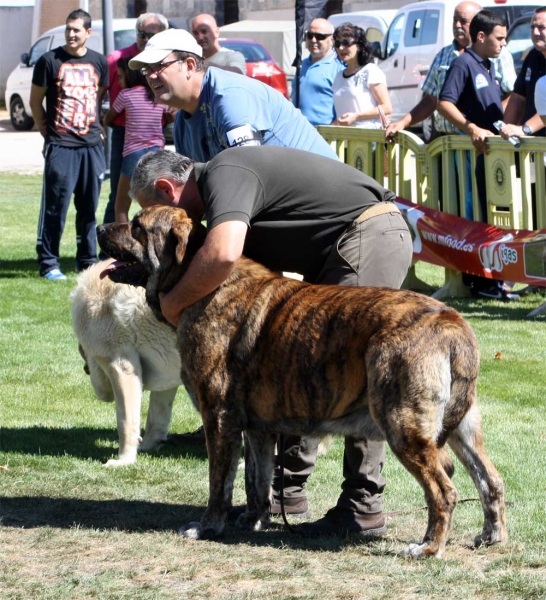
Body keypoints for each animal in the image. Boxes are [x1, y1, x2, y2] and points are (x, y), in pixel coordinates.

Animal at [94, 205, 506, 556]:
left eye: (137, 227)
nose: (99, 228)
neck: (201, 281)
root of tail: (452, 323)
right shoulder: (256, 429)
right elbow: (257, 479)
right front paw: (253, 518)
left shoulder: (219, 419)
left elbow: (220, 481)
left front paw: (209, 525)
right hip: (463, 427)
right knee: (490, 479)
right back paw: (492, 536)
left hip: (403, 425)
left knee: (444, 490)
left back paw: (428, 548)